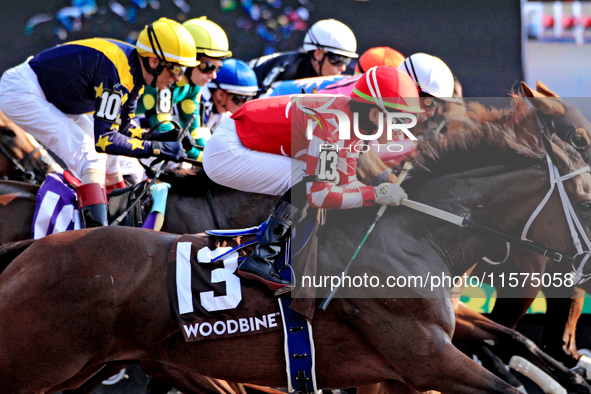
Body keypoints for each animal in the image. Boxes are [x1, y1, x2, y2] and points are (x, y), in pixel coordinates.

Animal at [1, 121, 591, 392]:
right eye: (585, 200)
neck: (416, 234)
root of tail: (27, 253)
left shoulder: (405, 364)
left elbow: (513, 340)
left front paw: (572, 371)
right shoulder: (424, 359)